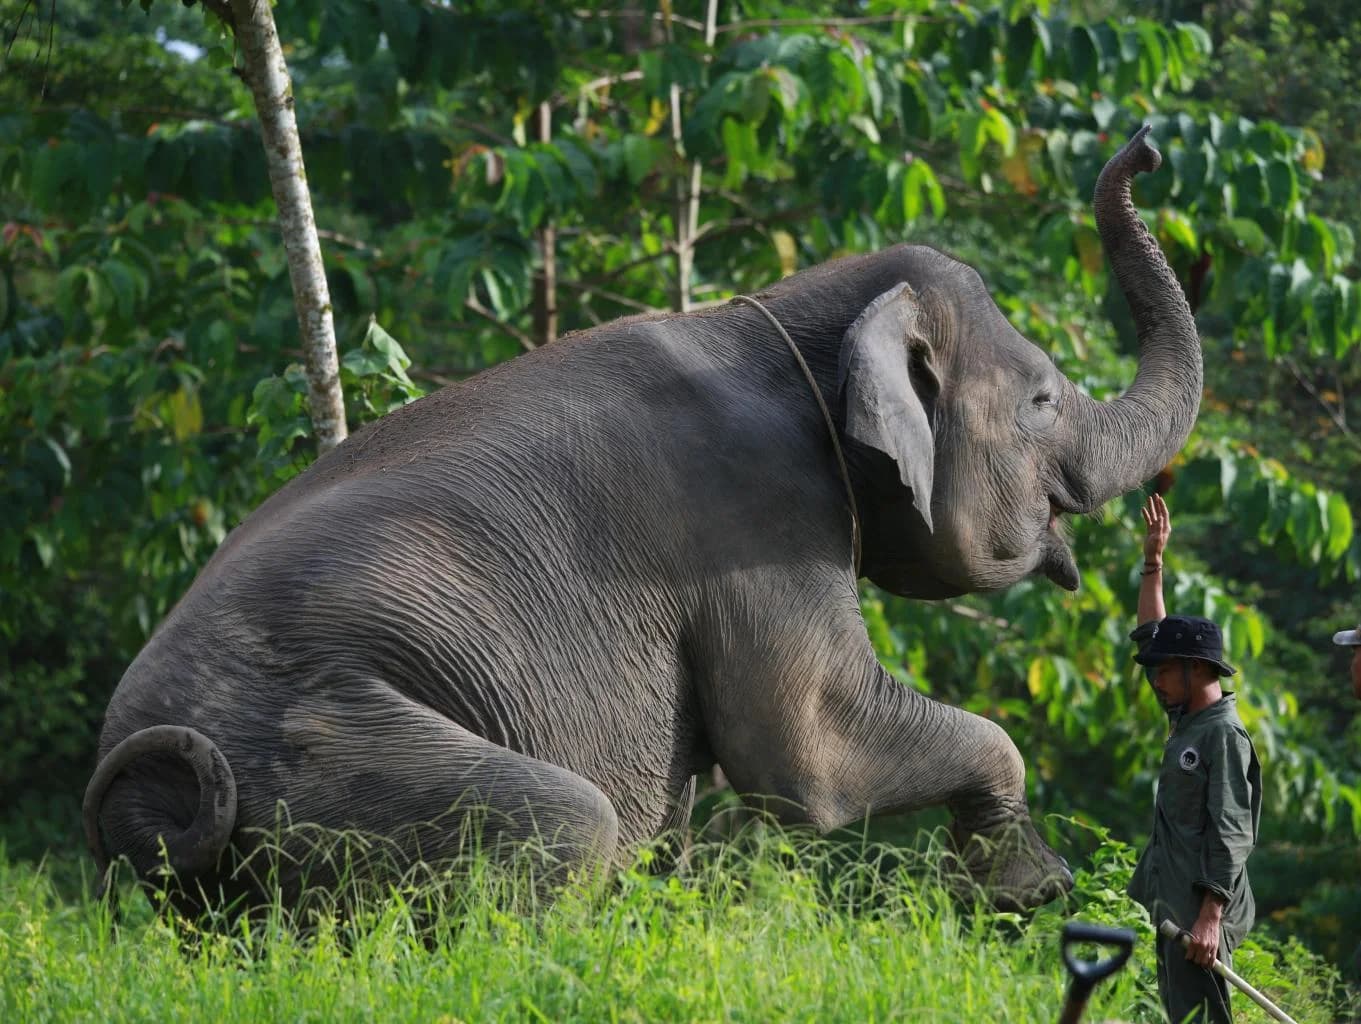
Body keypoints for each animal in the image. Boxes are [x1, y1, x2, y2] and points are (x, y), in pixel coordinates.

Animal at [83, 126, 1201, 915]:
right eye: (1043, 398)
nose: (1147, 147)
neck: (783, 311)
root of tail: (136, 791)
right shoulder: (758, 512)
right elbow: (809, 753)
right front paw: (1031, 893)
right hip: (324, 750)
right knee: (559, 822)